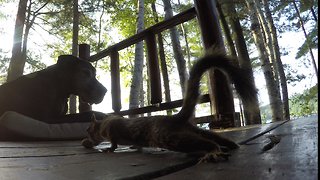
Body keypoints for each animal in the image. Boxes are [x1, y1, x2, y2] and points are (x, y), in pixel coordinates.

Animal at [82, 48, 258, 162]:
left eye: (88, 129)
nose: (85, 141)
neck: (103, 124)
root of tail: (176, 119)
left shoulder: (112, 131)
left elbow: (113, 143)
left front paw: (108, 149)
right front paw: (133, 147)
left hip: (168, 137)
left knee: (208, 143)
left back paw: (214, 151)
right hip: (192, 130)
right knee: (214, 136)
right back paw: (230, 145)